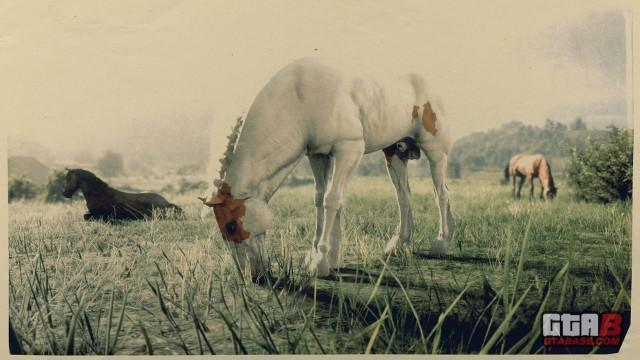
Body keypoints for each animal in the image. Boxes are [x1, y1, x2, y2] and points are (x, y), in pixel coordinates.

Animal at [200, 57, 456, 278]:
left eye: (231, 225)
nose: (253, 275)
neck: (301, 98)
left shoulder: (349, 150)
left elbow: (332, 200)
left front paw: (320, 262)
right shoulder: (319, 155)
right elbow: (320, 198)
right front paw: (322, 256)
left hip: (435, 152)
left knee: (441, 193)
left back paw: (441, 242)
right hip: (395, 153)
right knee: (403, 196)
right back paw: (398, 244)